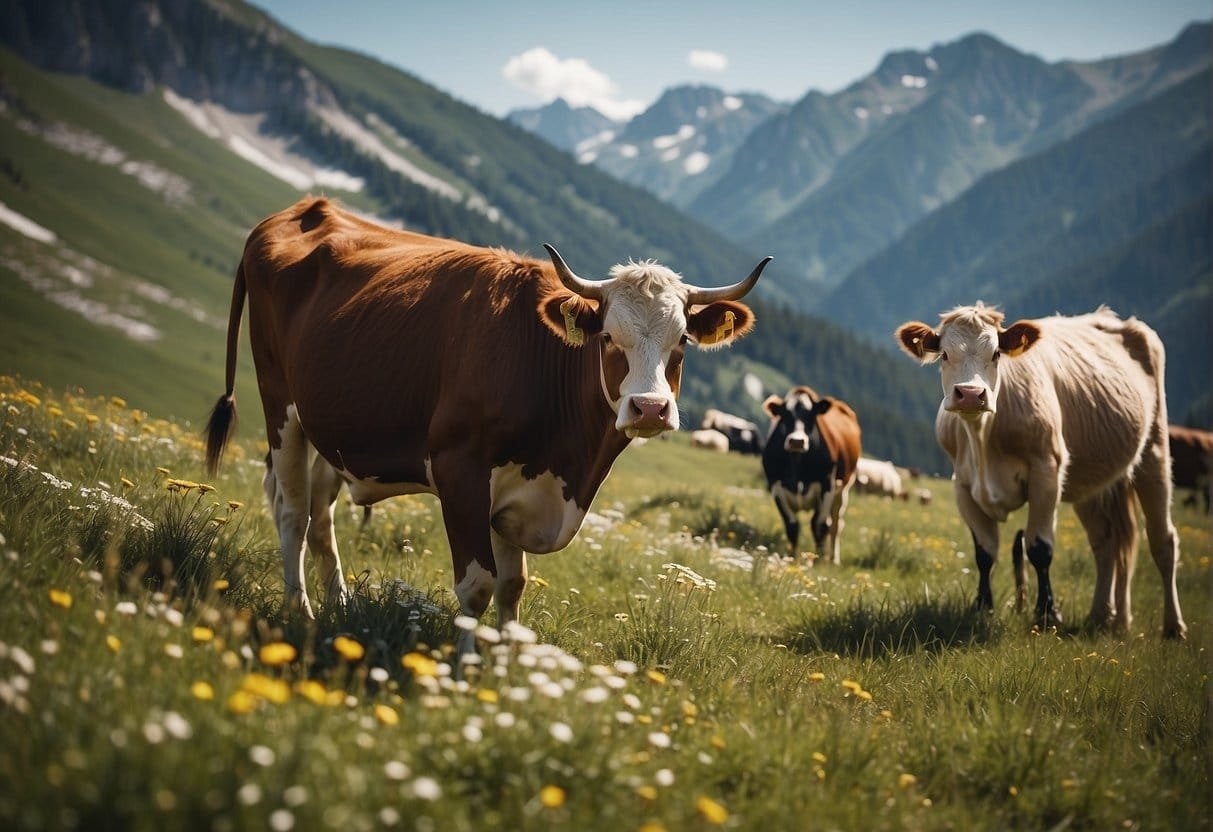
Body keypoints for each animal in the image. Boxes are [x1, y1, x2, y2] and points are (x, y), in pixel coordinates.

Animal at [204, 196, 768, 656]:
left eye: (682, 342)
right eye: (608, 337)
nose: (650, 409)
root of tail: (303, 208)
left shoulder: (518, 490)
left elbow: (512, 584)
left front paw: (507, 661)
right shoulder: (460, 472)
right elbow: (477, 584)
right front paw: (465, 665)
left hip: (333, 428)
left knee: (321, 518)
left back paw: (338, 604)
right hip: (281, 406)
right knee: (293, 514)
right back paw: (299, 610)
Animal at [760, 386, 861, 566]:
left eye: (811, 415)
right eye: (785, 415)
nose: (797, 441)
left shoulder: (827, 485)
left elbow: (818, 525)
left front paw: (818, 560)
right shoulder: (776, 486)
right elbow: (792, 525)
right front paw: (792, 558)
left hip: (843, 490)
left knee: (835, 525)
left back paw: (833, 559)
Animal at [896, 303, 1186, 639]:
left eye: (996, 353)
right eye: (944, 354)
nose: (969, 393)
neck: (983, 440)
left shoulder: (1047, 472)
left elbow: (1039, 548)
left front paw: (1048, 613)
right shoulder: (963, 485)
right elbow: (984, 552)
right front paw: (983, 607)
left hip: (1154, 452)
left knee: (1163, 541)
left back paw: (1173, 627)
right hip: (1091, 481)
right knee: (1107, 543)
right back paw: (1104, 617)